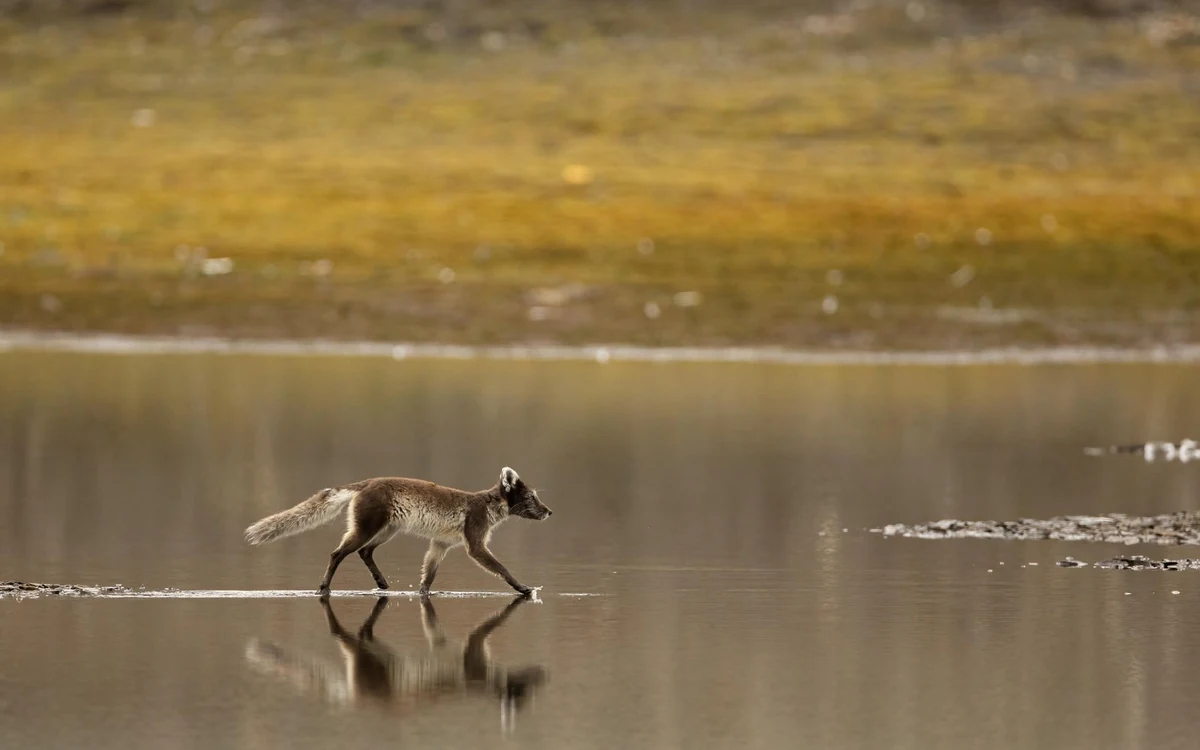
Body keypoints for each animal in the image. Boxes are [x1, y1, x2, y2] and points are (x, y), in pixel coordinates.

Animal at [243, 467, 552, 596]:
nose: (550, 512)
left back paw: (382, 584)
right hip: (368, 527)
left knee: (365, 552)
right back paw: (324, 587)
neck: (487, 504)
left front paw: (424, 593)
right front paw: (523, 587)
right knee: (338, 553)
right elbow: (502, 568)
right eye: (531, 498)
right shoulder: (474, 542)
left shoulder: (440, 544)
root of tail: (365, 482)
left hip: (386, 530)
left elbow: (429, 574)